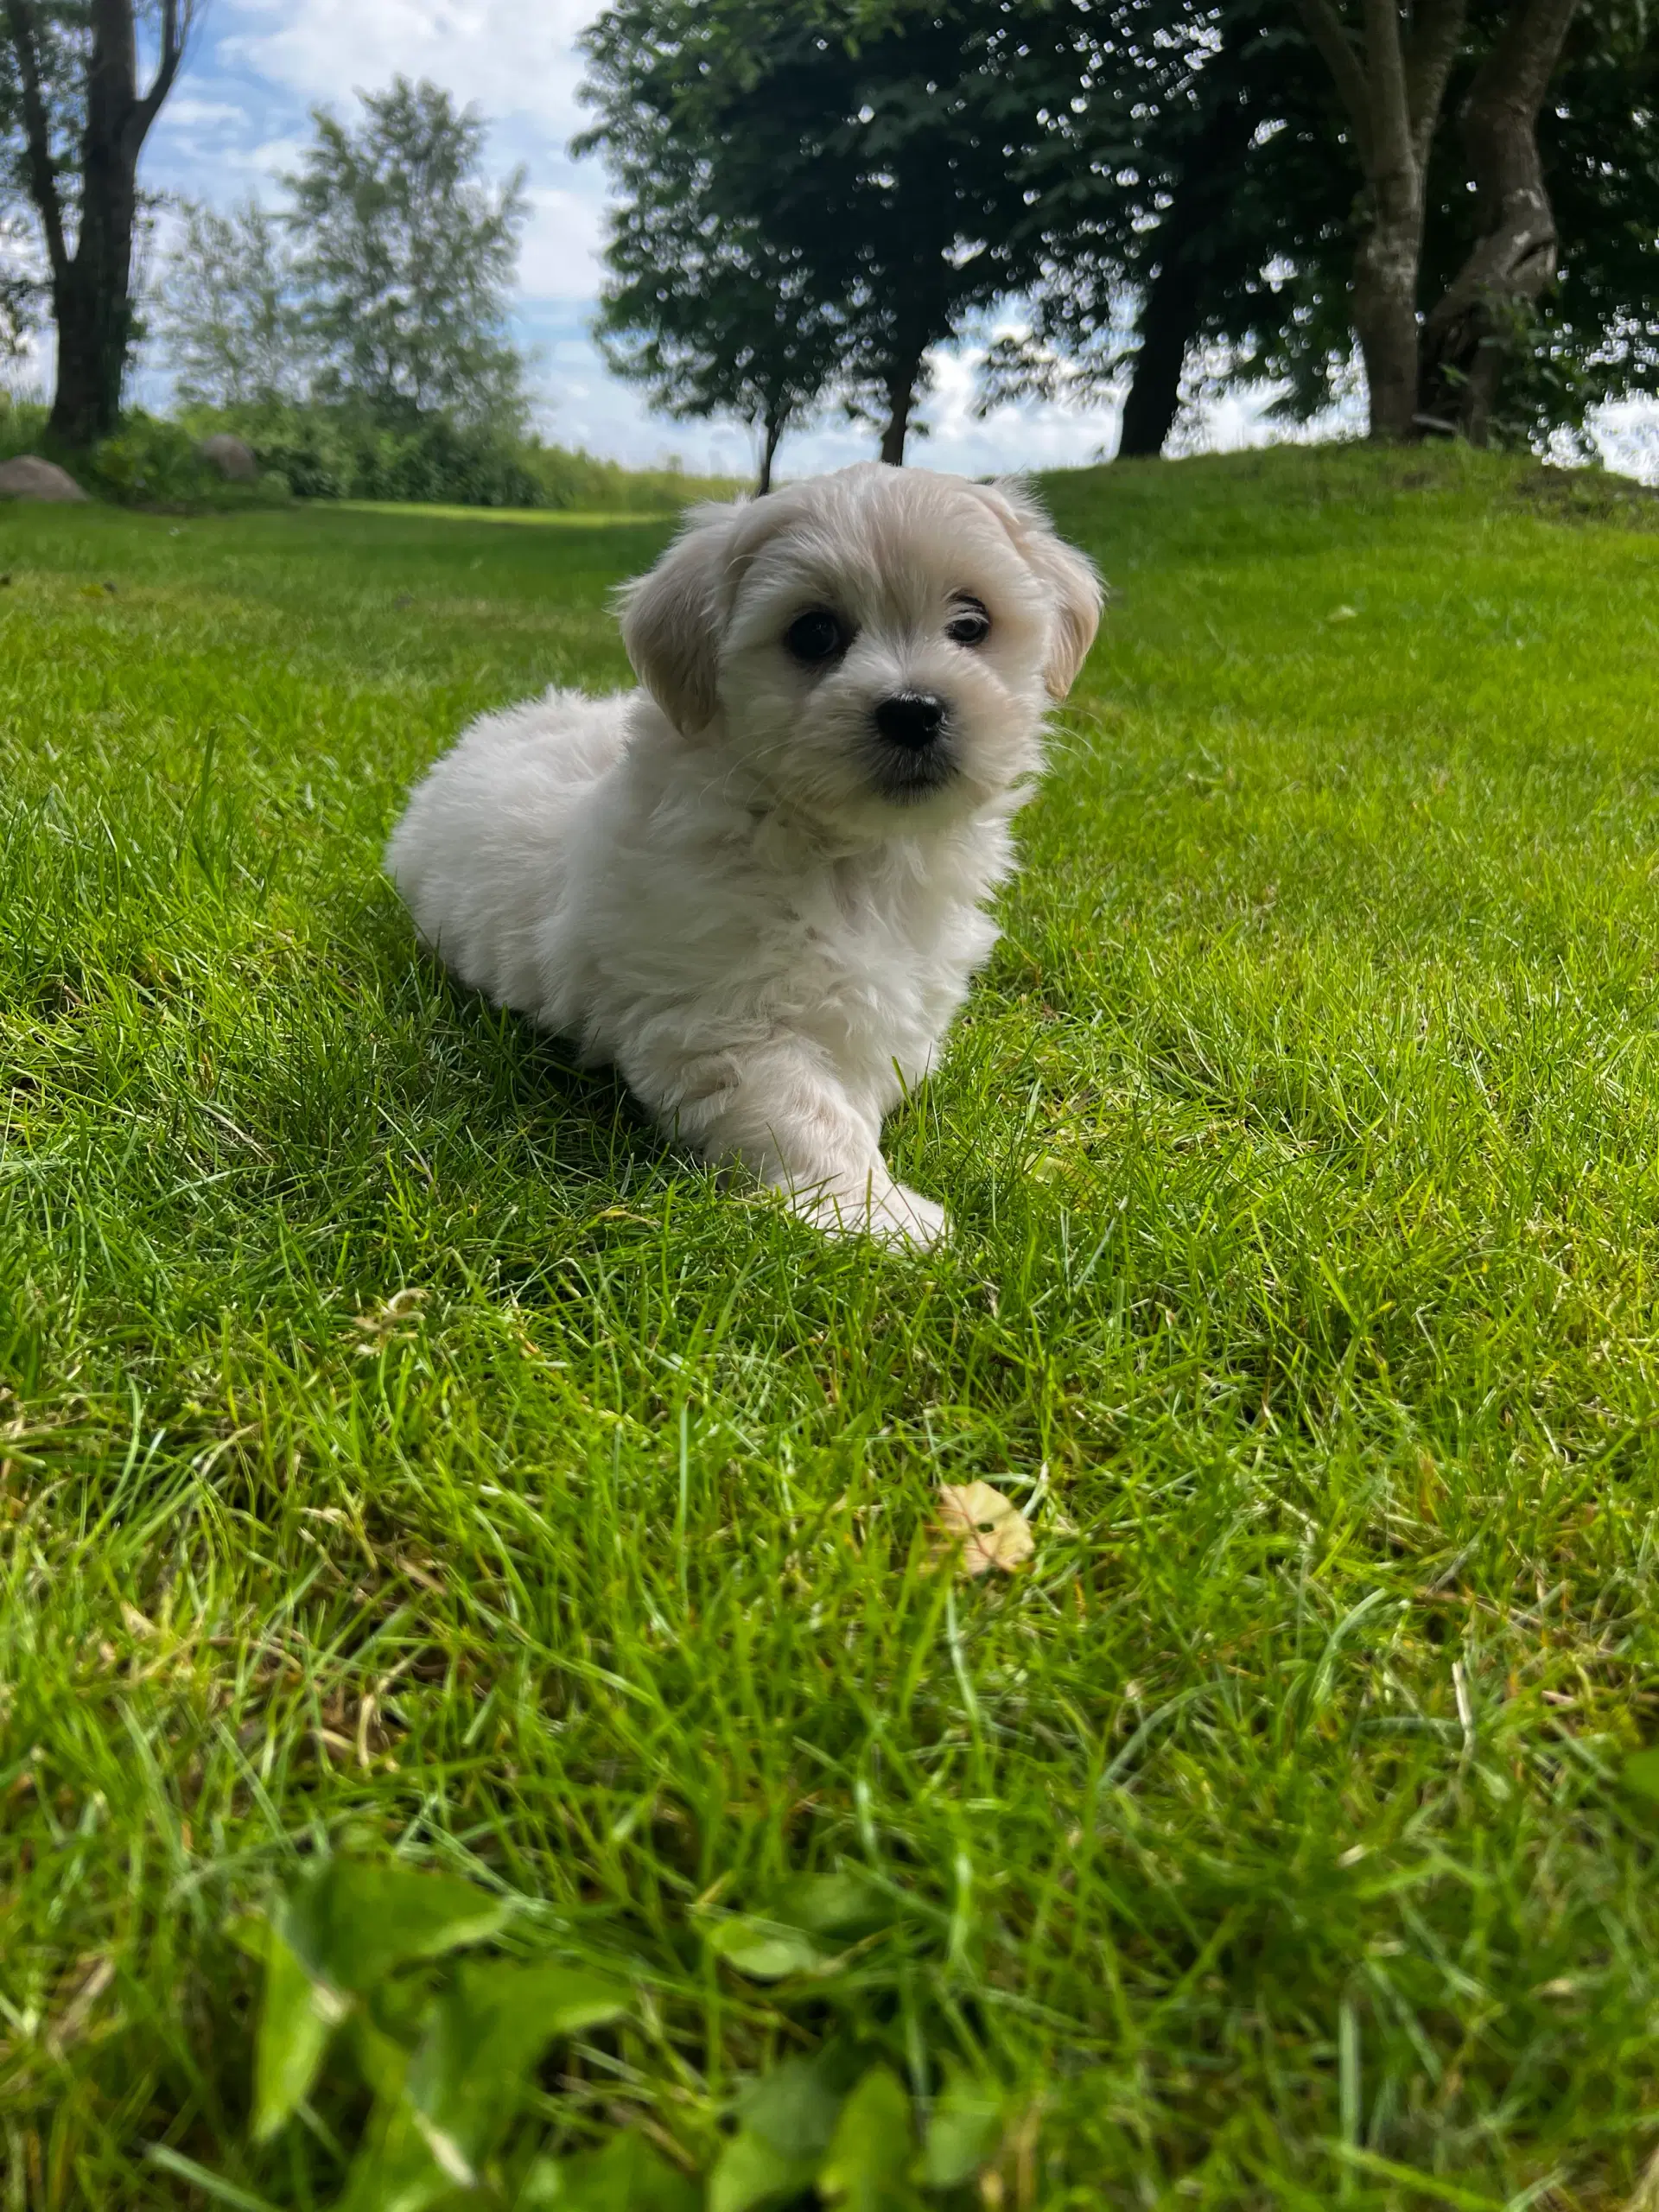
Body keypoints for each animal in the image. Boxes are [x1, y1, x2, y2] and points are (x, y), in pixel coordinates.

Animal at [389, 462, 1106, 1247]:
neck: (853, 855)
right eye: (814, 633)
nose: (914, 710)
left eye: (972, 624)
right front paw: (881, 1219)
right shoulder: (723, 1020)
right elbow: (811, 1113)